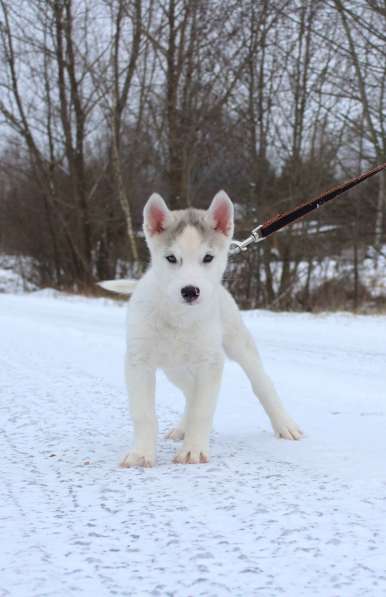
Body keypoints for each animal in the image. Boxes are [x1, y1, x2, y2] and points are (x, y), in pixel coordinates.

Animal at [101, 191, 304, 466]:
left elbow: (202, 410)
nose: (190, 291)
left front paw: (193, 450)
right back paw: (181, 428)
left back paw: (284, 424)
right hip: (174, 368)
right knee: (190, 392)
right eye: (171, 258)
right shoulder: (138, 362)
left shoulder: (211, 362)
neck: (180, 317)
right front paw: (141, 454)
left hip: (239, 347)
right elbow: (144, 414)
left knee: (261, 384)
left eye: (208, 258)